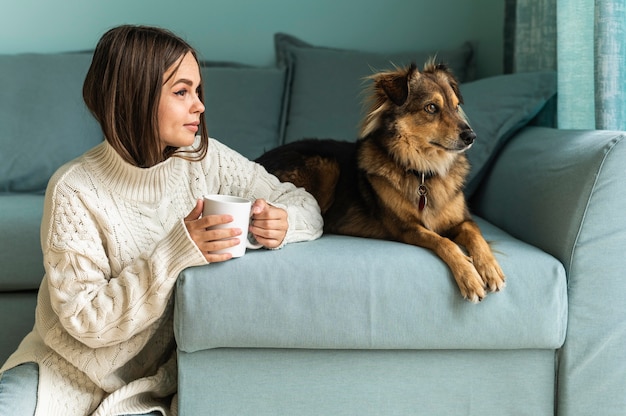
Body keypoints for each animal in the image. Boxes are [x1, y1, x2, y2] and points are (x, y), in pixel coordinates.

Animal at [256, 61, 504, 302]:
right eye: (431, 107)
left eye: (455, 106)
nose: (471, 136)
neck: (423, 171)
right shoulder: (406, 228)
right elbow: (445, 242)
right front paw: (469, 275)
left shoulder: (462, 220)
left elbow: (476, 235)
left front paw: (490, 268)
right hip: (328, 167)